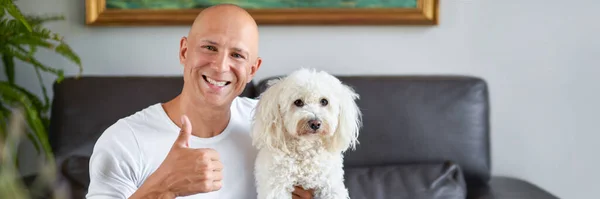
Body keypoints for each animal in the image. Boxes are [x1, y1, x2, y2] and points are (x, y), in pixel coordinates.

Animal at [252, 67, 364, 198]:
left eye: (324, 101)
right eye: (298, 102)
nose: (315, 123)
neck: (306, 148)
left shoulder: (330, 185)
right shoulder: (276, 187)